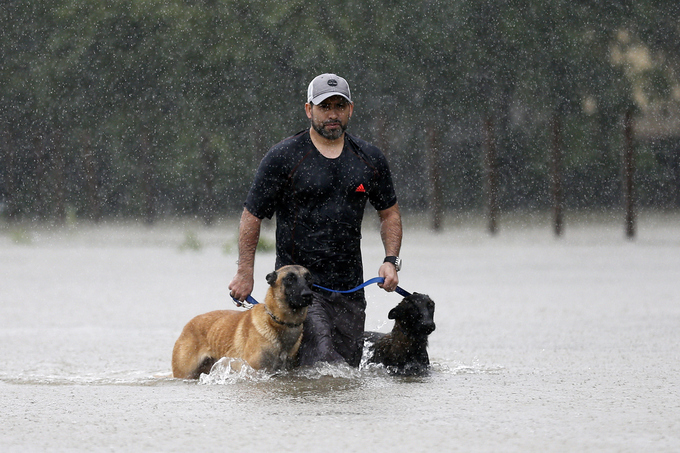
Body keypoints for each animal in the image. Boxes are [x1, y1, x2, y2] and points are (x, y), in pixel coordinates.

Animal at [173, 264, 316, 378]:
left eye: (309, 278)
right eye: (290, 278)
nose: (308, 294)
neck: (276, 322)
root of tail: (187, 326)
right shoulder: (254, 370)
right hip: (185, 373)